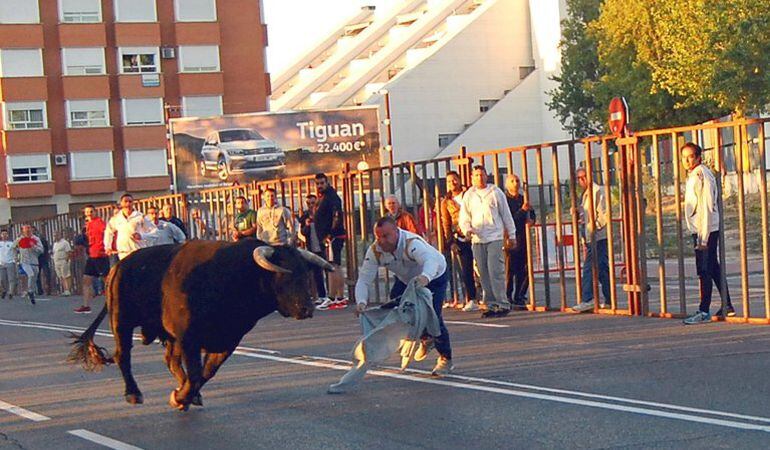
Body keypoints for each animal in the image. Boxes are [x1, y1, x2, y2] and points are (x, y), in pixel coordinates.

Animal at [71, 239, 332, 412]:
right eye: (283, 275)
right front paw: (180, 397)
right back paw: (134, 393)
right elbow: (196, 373)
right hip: (121, 321)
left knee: (170, 360)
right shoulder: (189, 338)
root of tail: (119, 265)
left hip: (167, 336)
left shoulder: (227, 340)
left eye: (305, 273)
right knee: (123, 355)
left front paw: (184, 396)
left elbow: (206, 372)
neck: (232, 276)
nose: (306, 308)